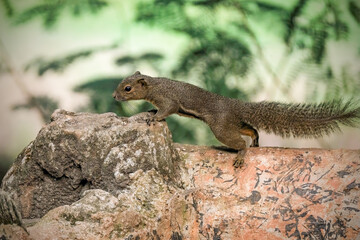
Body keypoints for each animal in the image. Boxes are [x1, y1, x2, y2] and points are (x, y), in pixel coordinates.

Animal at [113, 71, 360, 167]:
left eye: (127, 88)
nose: (114, 97)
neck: (154, 86)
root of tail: (237, 105)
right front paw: (150, 112)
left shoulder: (169, 101)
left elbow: (167, 110)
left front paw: (154, 119)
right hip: (232, 124)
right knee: (251, 129)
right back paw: (256, 141)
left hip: (221, 128)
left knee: (240, 142)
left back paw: (241, 155)